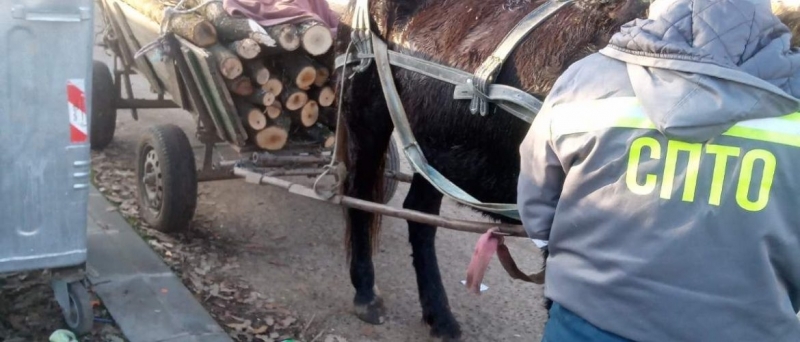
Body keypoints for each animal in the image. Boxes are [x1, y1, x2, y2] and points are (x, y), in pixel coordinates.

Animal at [330, 0, 648, 338]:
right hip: (368, 119)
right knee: (360, 198)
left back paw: (439, 316)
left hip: (434, 146)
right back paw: (366, 294)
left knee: (419, 215)